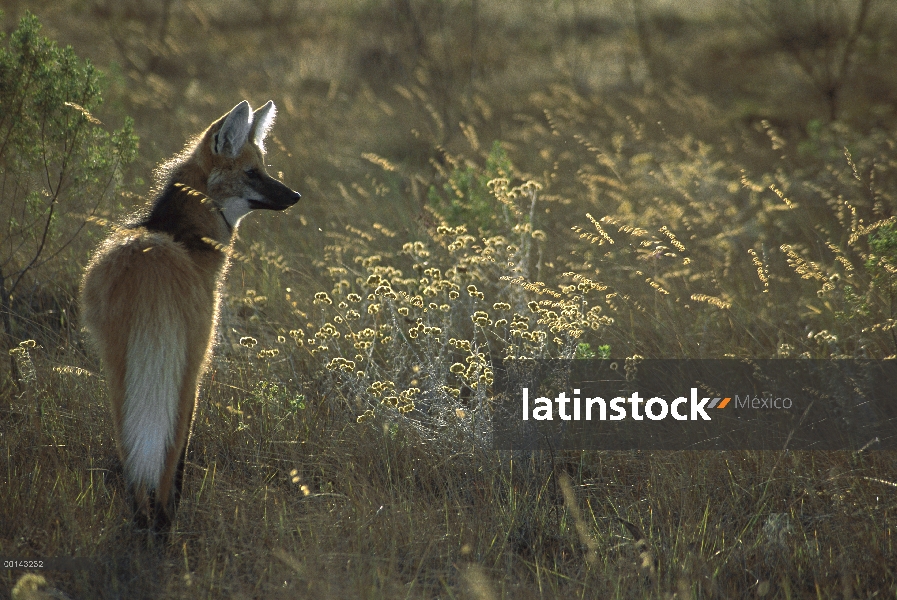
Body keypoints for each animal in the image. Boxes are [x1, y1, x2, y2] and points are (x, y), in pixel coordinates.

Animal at [80, 101, 300, 532]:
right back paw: (162, 524)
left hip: (119, 368)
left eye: (265, 168)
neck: (182, 236)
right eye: (253, 173)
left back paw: (142, 520)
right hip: (184, 367)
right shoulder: (197, 364)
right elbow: (180, 450)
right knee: (166, 455)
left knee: (131, 447)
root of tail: (151, 263)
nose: (295, 195)